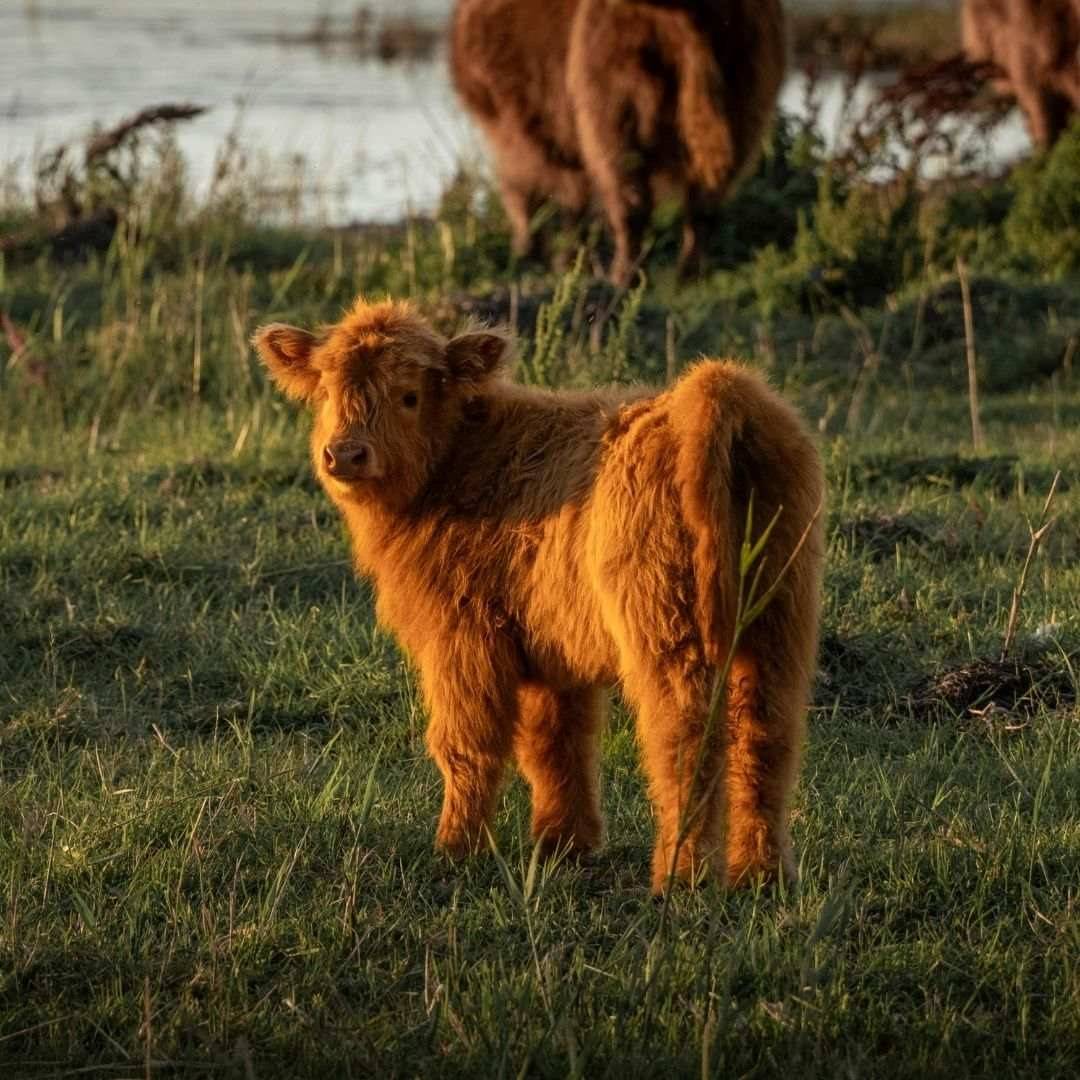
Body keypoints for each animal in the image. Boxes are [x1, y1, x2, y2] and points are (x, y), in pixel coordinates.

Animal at [254, 297, 824, 892]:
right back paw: (762, 874)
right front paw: (564, 844)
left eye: (408, 395)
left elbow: (467, 741)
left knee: (686, 738)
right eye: (325, 392)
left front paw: (457, 847)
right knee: (768, 735)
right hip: (780, 620)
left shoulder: (463, 634)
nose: (344, 455)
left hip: (668, 628)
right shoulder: (551, 648)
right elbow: (556, 743)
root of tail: (713, 392)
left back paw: (680, 875)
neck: (455, 463)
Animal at [450, 0, 786, 285]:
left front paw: (541, 254)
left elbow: (532, 185)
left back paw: (623, 274)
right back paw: (688, 272)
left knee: (626, 187)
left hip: (612, 85)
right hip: (747, 79)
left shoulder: (519, 120)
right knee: (706, 197)